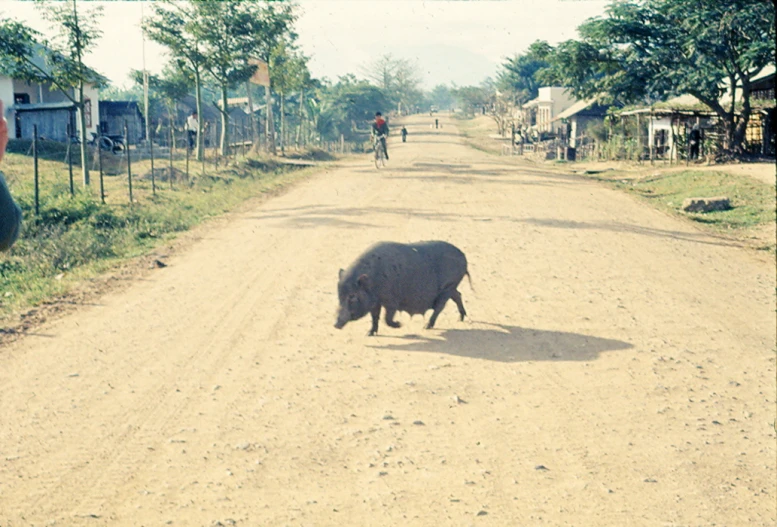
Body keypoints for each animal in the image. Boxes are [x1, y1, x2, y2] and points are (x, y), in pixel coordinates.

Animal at [332, 242, 466, 336]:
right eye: (339, 295)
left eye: (352, 296)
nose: (336, 324)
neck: (374, 280)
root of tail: (463, 256)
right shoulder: (375, 302)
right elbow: (375, 317)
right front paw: (369, 333)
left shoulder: (392, 301)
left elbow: (387, 318)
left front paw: (400, 325)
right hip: (451, 287)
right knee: (458, 295)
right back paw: (461, 318)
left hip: (448, 287)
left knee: (440, 307)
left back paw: (427, 326)